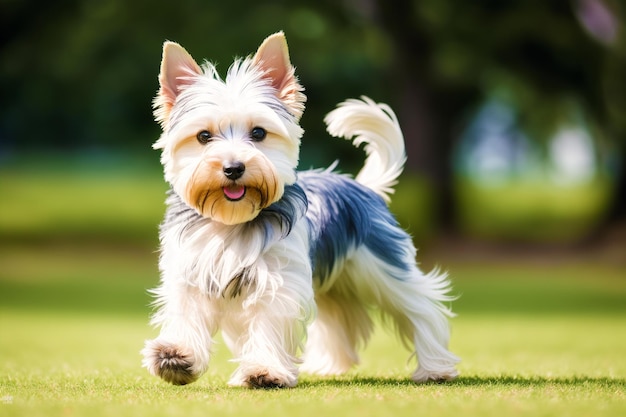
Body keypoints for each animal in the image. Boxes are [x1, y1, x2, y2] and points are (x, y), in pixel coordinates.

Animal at [144, 31, 460, 386]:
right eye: (203, 136)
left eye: (258, 133)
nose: (234, 167)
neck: (232, 221)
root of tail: (362, 186)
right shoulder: (190, 272)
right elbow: (187, 312)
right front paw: (175, 355)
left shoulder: (277, 281)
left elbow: (268, 323)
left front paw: (264, 369)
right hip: (334, 281)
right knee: (339, 317)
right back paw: (330, 365)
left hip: (382, 265)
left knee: (420, 306)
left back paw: (435, 367)